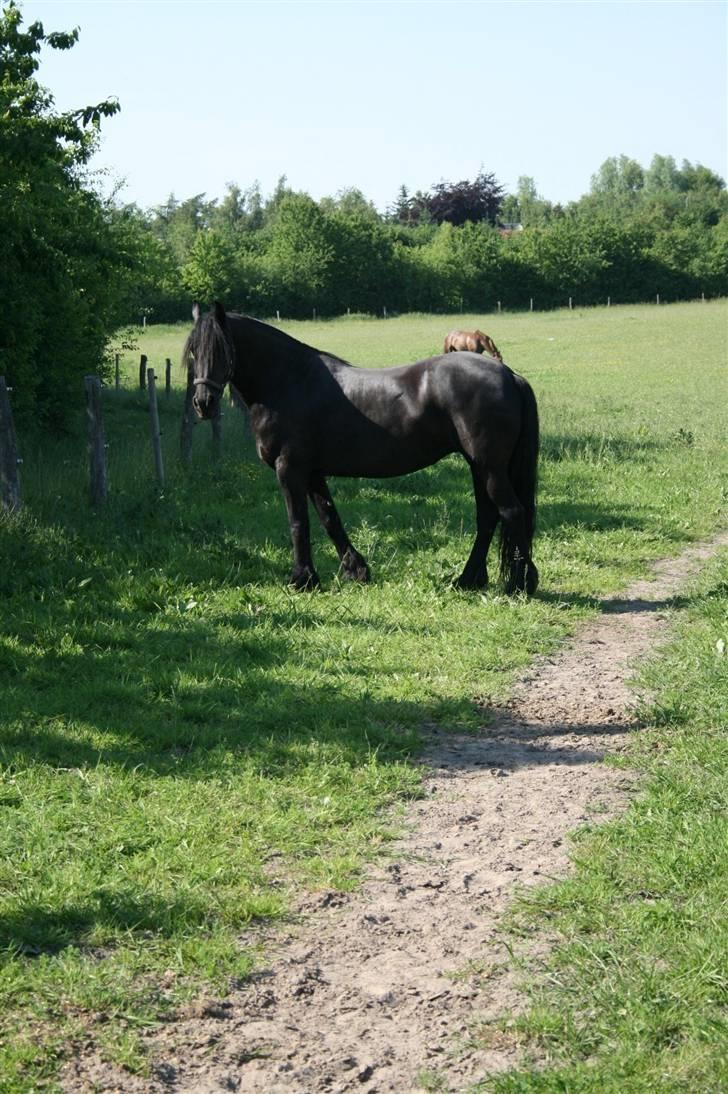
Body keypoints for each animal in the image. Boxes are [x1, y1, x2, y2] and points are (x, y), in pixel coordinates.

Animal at [185, 304, 536, 595]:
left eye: (221, 350)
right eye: (193, 352)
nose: (203, 403)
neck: (289, 381)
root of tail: (509, 375)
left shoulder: (290, 468)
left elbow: (298, 522)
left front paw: (302, 580)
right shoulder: (312, 472)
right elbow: (329, 518)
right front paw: (356, 570)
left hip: (489, 468)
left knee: (512, 512)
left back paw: (519, 583)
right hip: (480, 466)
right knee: (488, 517)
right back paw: (469, 579)